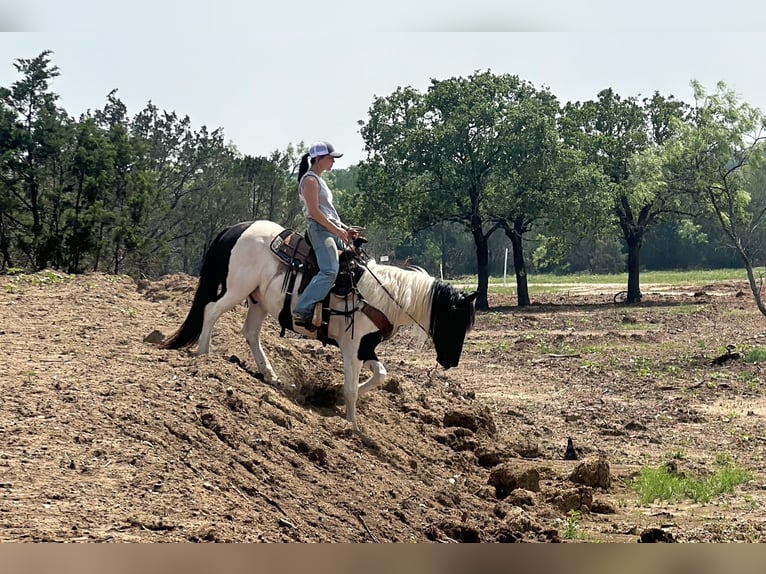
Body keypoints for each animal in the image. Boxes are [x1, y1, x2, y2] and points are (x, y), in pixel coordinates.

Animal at [159, 220, 476, 432]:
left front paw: (335, 397)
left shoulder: (365, 347)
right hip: (238, 289)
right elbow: (351, 388)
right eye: (454, 321)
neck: (378, 296)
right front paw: (353, 426)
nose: (451, 361)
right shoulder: (352, 347)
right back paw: (203, 355)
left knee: (250, 332)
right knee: (211, 311)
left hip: (258, 301)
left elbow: (380, 376)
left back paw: (271, 375)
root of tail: (237, 228)